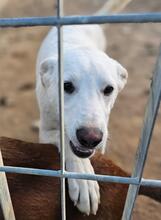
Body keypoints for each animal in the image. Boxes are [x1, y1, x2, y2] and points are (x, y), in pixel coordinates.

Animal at [35, 0, 130, 216]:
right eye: (66, 86)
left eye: (109, 89)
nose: (90, 138)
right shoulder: (46, 132)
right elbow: (64, 139)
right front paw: (84, 178)